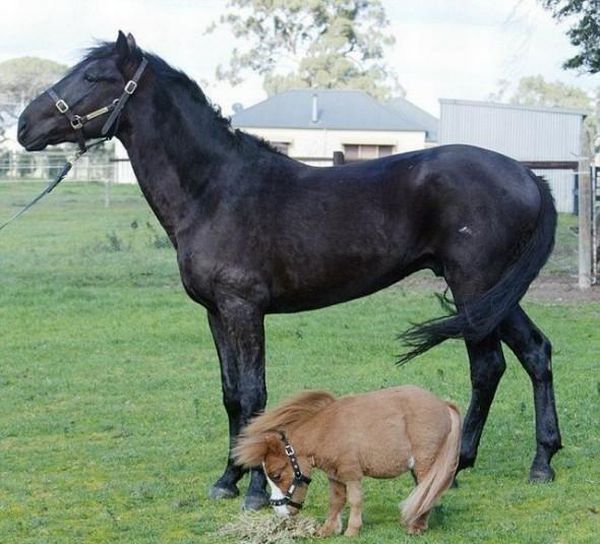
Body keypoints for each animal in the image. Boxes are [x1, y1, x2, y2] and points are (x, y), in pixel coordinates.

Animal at [19, 33, 564, 510]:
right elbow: (230, 395)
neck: (215, 190)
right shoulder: (216, 313)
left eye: (93, 76)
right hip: (492, 293)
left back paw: (488, 464)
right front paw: (227, 479)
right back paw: (529, 461)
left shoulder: (244, 308)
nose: (24, 125)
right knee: (533, 352)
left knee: (488, 366)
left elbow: (254, 395)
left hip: (475, 286)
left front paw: (258, 492)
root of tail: (527, 175)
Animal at [233, 384, 460, 536]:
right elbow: (336, 501)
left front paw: (352, 530)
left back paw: (416, 527)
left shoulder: (352, 474)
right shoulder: (335, 476)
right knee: (424, 492)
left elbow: (354, 500)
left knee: (427, 489)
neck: (327, 431)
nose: (280, 513)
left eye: (276, 475)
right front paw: (327, 530)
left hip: (425, 463)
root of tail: (444, 404)